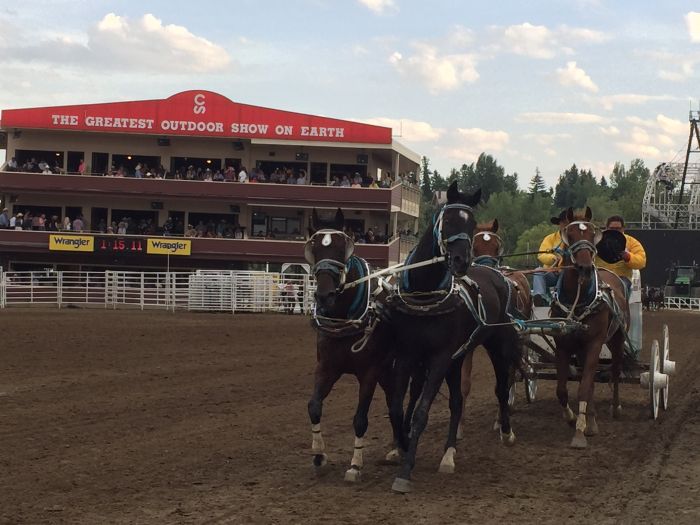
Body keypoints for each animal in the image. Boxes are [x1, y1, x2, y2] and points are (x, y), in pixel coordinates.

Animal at [306, 207, 400, 482]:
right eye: (314, 248)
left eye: (342, 248)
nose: (324, 295)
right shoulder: (326, 368)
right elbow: (314, 406)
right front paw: (319, 454)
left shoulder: (369, 372)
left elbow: (360, 418)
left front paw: (355, 465)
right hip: (387, 372)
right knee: (393, 402)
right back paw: (396, 448)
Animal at [386, 182, 524, 494]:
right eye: (448, 221)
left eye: (471, 223)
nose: (461, 261)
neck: (425, 295)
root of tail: (499, 276)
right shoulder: (408, 354)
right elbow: (398, 405)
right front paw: (401, 444)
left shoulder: (439, 358)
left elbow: (422, 411)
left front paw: (405, 470)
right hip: (457, 358)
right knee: (458, 400)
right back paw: (448, 452)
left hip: (497, 346)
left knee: (501, 388)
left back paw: (505, 431)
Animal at [552, 207, 628, 448]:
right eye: (570, 234)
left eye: (591, 234)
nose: (585, 267)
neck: (579, 299)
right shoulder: (563, 345)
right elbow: (563, 389)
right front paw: (572, 418)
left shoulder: (595, 343)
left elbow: (584, 388)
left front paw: (579, 432)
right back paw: (591, 419)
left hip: (616, 340)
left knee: (615, 371)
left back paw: (615, 408)